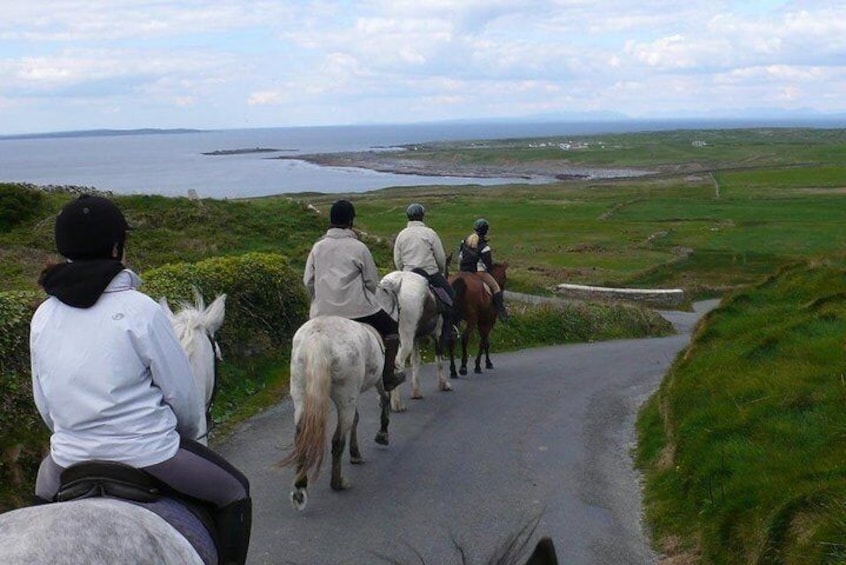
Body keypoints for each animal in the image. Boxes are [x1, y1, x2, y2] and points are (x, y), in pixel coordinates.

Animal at [284, 316, 392, 512]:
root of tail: (318, 338)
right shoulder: (377, 382)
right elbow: (384, 399)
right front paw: (382, 434)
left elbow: (357, 418)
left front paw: (355, 453)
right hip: (346, 396)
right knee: (338, 439)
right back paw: (338, 483)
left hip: (301, 394)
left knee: (301, 437)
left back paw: (300, 489)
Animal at [380, 268, 454, 410]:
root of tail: (395, 283)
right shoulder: (438, 335)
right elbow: (439, 360)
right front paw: (444, 384)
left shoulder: (415, 339)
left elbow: (415, 361)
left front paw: (416, 392)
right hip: (405, 338)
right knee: (397, 362)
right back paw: (397, 403)